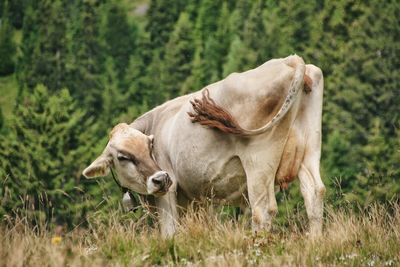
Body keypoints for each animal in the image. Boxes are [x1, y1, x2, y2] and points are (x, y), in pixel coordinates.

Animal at [83, 55, 326, 239]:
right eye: (123, 157)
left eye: (150, 146)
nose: (159, 179)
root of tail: (291, 61)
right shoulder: (199, 199)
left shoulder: (171, 189)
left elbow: (169, 232)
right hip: (309, 151)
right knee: (314, 192)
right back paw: (314, 243)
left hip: (258, 162)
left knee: (263, 210)